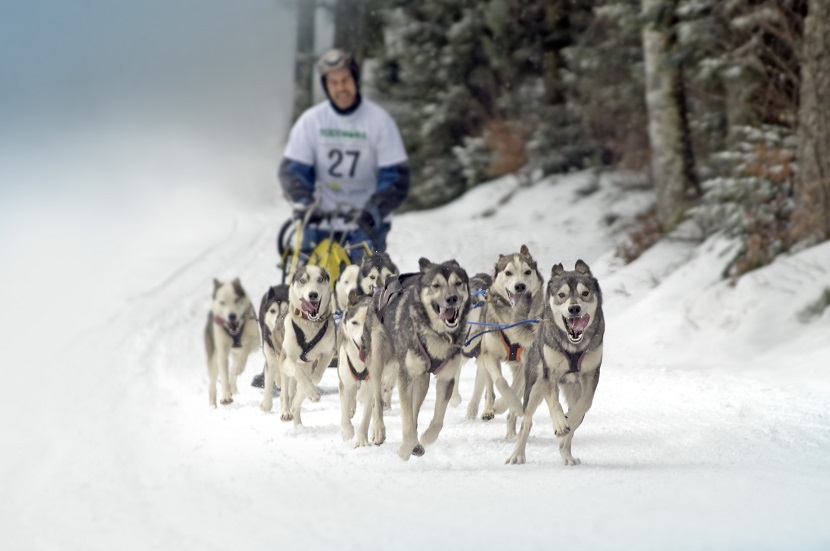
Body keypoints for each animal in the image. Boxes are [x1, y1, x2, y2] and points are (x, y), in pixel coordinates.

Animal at [508, 260, 604, 468]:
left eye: (585, 293)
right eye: (562, 295)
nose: (574, 308)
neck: (573, 347)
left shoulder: (591, 374)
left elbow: (586, 402)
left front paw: (569, 418)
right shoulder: (549, 374)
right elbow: (553, 402)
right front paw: (560, 423)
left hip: (573, 390)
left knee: (569, 434)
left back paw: (567, 454)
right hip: (534, 388)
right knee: (526, 422)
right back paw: (517, 454)